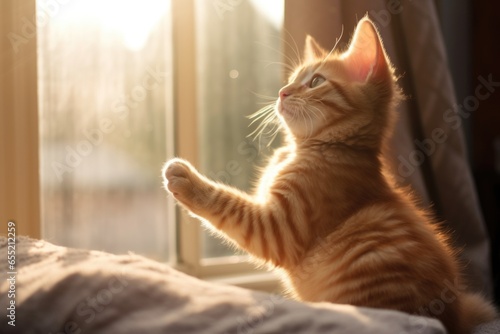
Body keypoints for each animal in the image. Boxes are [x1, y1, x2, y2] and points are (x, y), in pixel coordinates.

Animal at [164, 17, 496, 334]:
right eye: (292, 80)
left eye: (316, 81)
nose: (282, 92)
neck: (319, 148)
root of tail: (456, 321)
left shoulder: (278, 228)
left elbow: (229, 205)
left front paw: (187, 180)